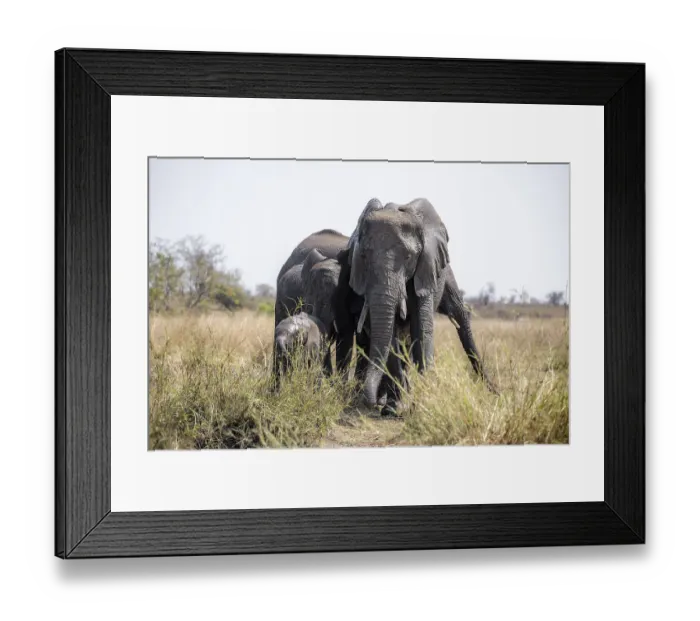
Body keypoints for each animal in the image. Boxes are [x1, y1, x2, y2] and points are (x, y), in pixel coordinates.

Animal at [344, 197, 495, 409]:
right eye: (364, 257)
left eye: (408, 257)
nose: (370, 403)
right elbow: (391, 336)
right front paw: (396, 407)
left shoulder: (425, 269)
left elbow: (422, 329)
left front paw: (425, 402)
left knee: (460, 316)